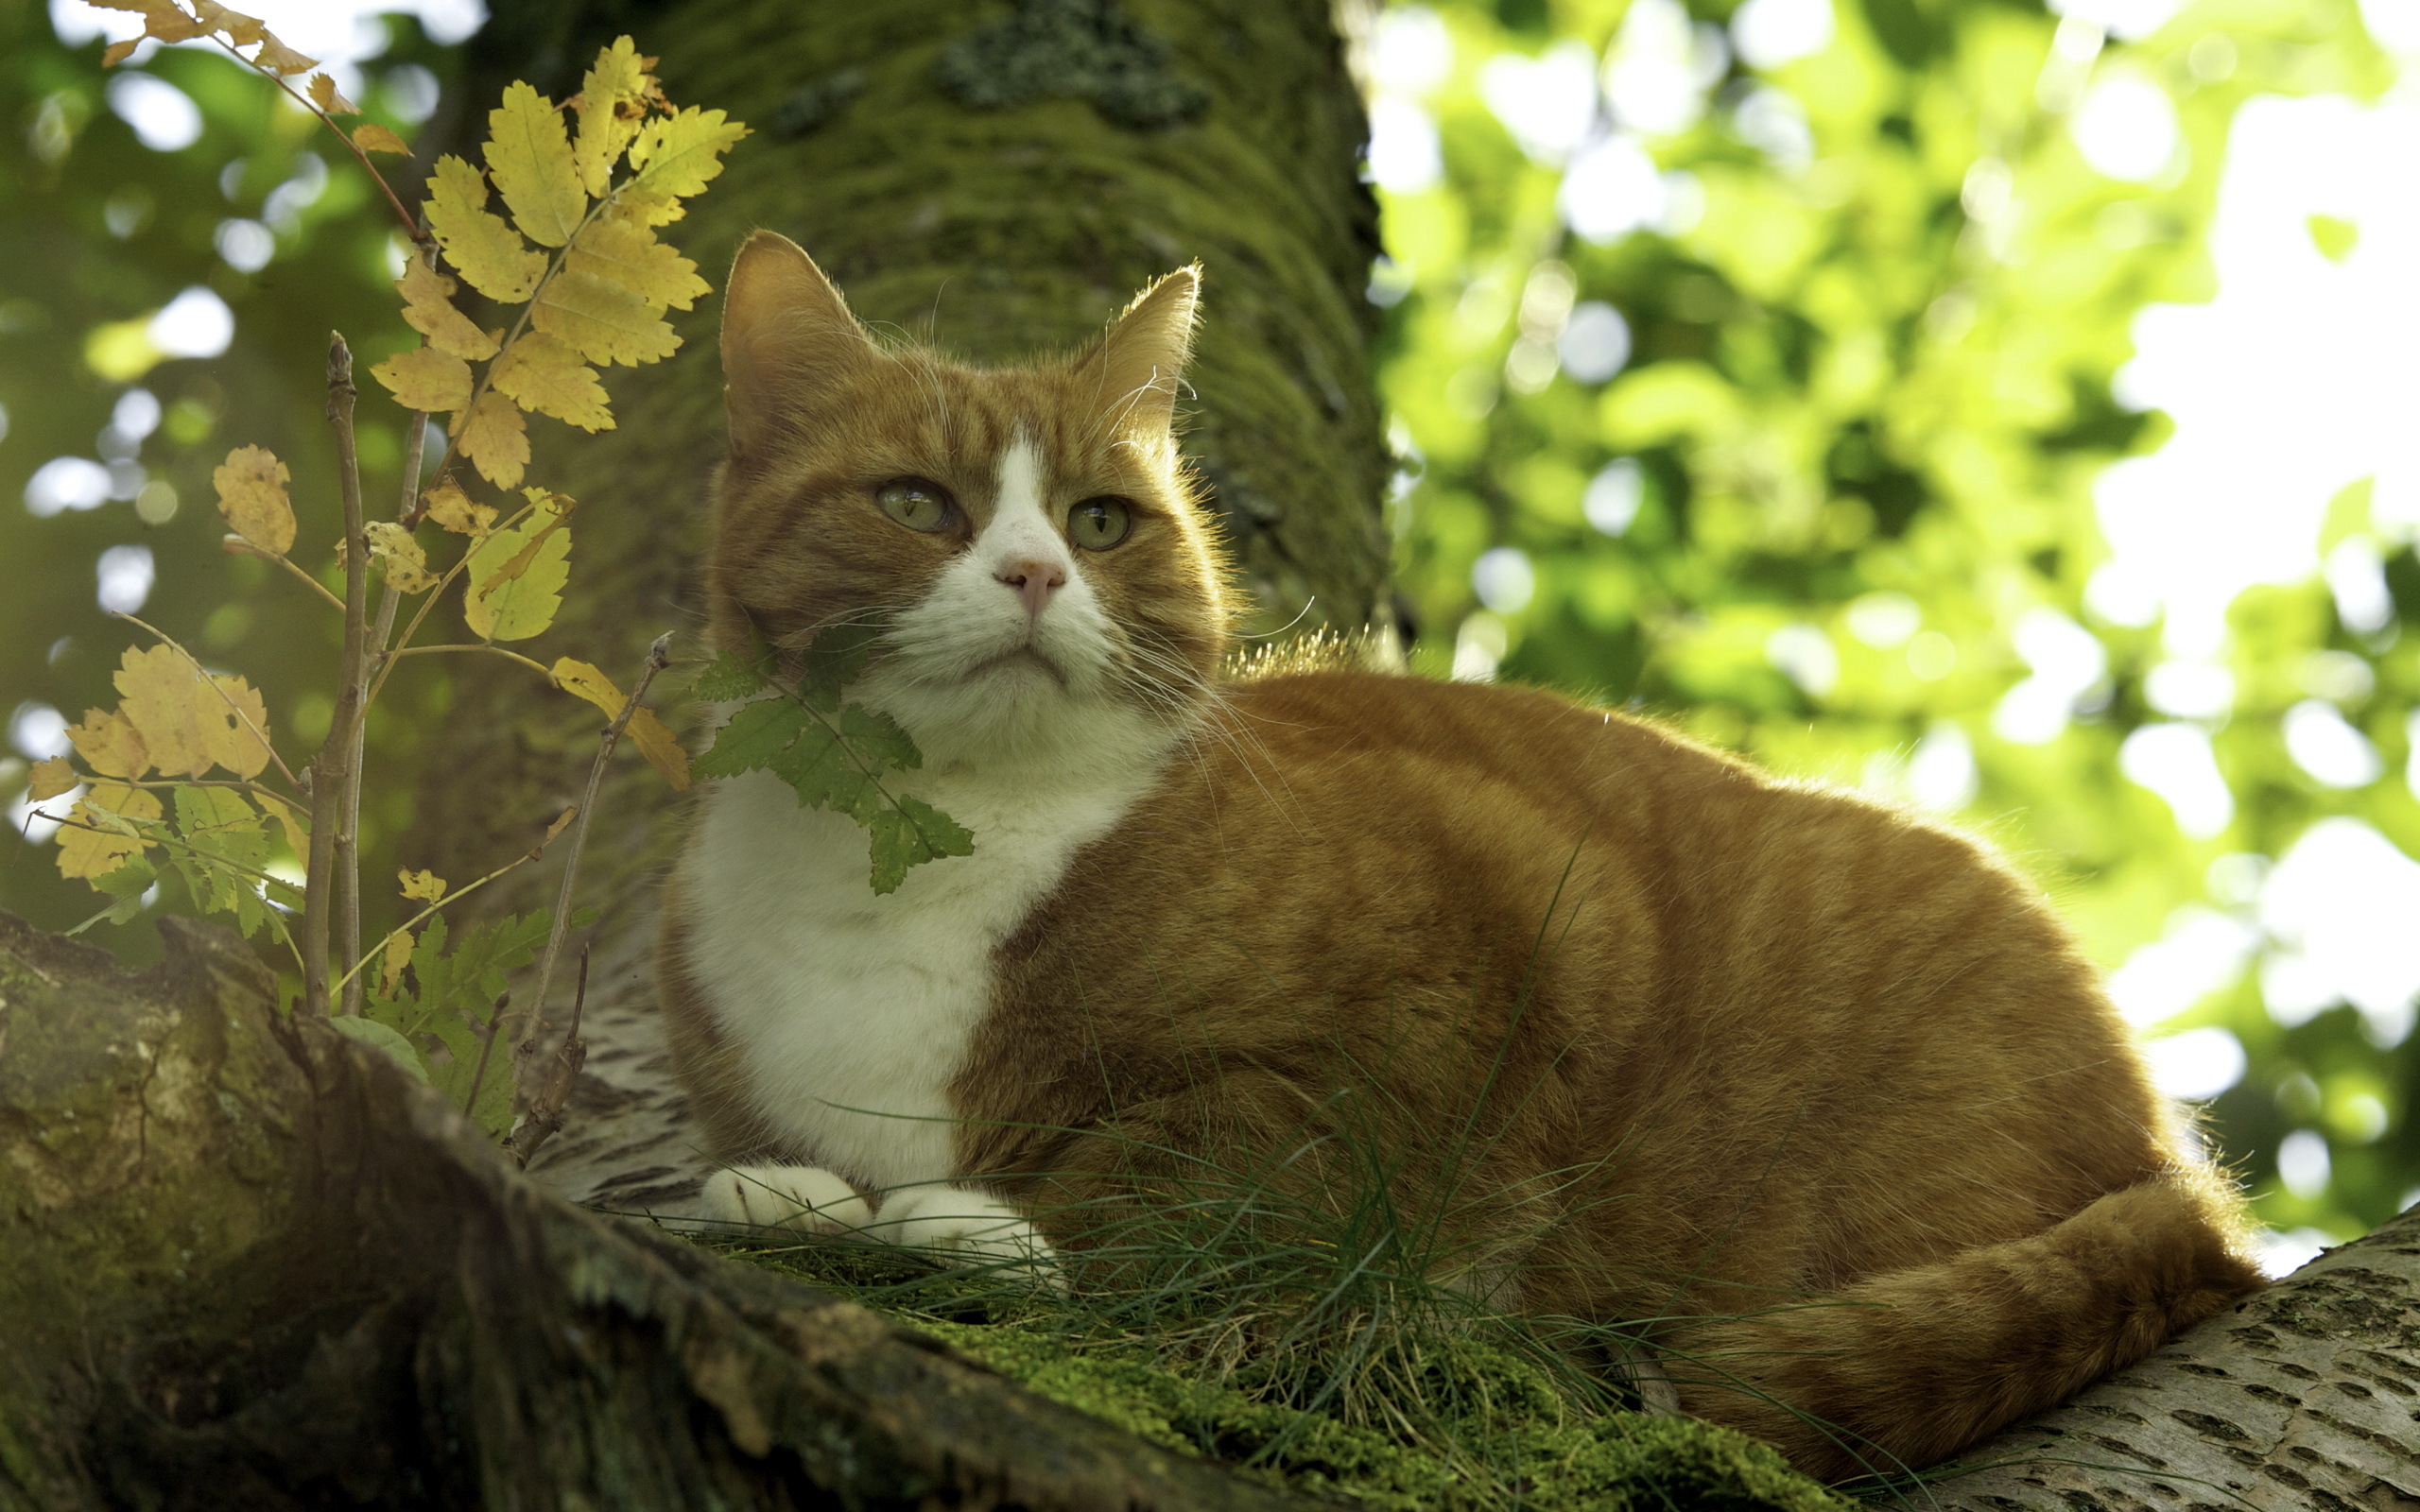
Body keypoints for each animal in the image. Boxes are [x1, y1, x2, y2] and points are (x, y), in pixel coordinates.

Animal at [653, 230, 2255, 1480]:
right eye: (916, 504)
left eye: (1103, 522)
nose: (1041, 572)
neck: (923, 847)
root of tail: (2180, 1164)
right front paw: (785, 1189)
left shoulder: (1505, 927)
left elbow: (1214, 1160)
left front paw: (983, 1225)